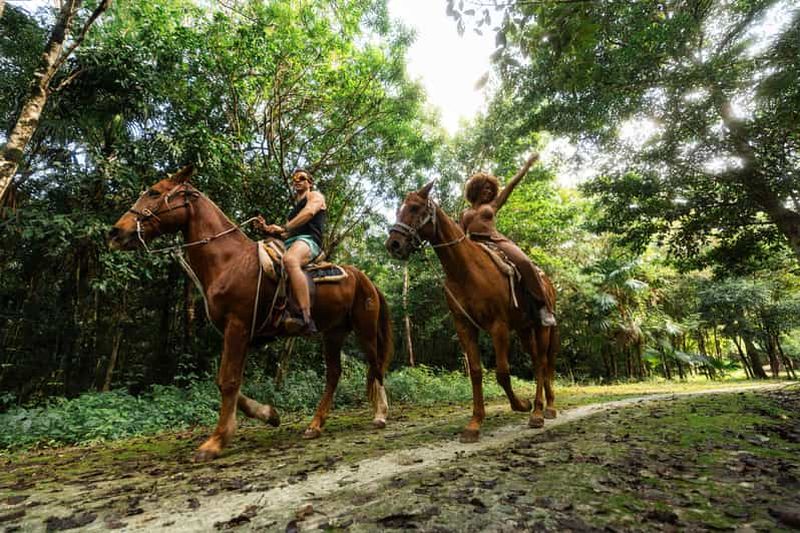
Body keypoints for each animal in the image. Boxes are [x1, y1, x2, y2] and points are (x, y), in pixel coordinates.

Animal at [108, 164, 393, 461]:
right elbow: (225, 380)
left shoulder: (238, 325)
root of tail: (366, 279)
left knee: (375, 365)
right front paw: (269, 414)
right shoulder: (238, 332)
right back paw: (315, 425)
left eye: (154, 192)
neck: (228, 261)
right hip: (333, 333)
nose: (115, 232)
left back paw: (380, 414)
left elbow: (228, 381)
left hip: (364, 328)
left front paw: (216, 441)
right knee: (334, 373)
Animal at [385, 181, 558, 443]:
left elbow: (502, 372)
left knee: (541, 362)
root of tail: (547, 281)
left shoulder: (498, 326)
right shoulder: (464, 326)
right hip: (525, 329)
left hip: (541, 328)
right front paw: (474, 424)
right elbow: (476, 372)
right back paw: (546, 407)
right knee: (539, 361)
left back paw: (539, 411)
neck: (465, 270)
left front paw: (521, 404)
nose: (393, 244)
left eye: (414, 208)